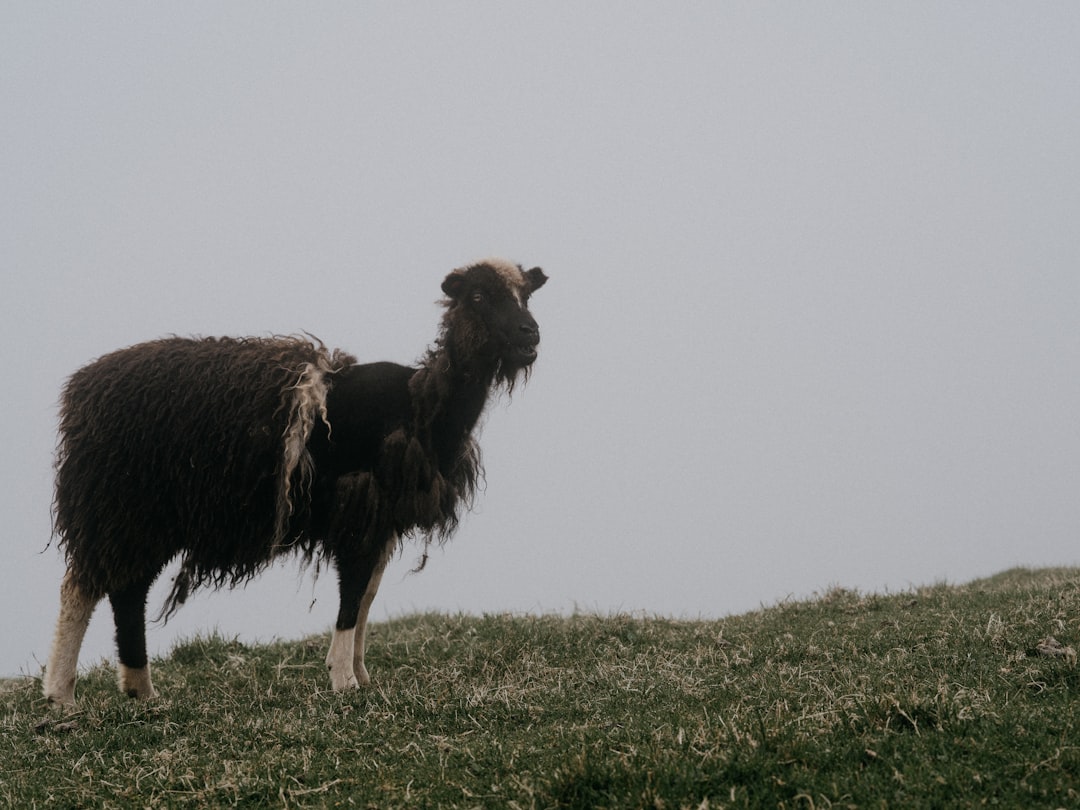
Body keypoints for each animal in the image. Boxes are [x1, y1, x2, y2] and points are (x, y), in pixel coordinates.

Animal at [42, 258, 548, 704]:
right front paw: (343, 680)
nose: (531, 334)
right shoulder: (357, 504)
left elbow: (367, 596)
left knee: (128, 592)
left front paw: (360, 673)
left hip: (145, 518)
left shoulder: (381, 519)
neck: (419, 404)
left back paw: (140, 691)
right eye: (478, 296)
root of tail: (81, 392)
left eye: (525, 295)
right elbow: (352, 596)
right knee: (81, 589)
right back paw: (62, 697)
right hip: (119, 505)